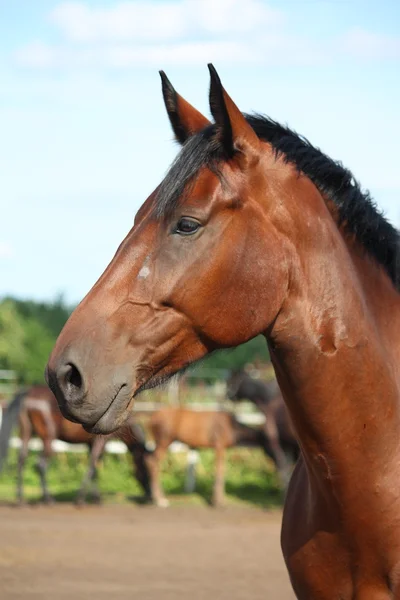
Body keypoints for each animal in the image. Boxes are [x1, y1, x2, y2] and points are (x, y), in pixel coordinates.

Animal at [0, 384, 152, 506]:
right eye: (146, 467)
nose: (149, 496)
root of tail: (28, 392)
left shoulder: (90, 444)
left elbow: (95, 469)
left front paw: (95, 498)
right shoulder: (100, 442)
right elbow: (92, 466)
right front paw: (80, 499)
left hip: (26, 434)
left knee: (21, 460)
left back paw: (20, 499)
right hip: (48, 438)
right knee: (41, 464)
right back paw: (48, 499)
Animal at [147, 408, 278, 506]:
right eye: (270, 444)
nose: (276, 459)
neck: (231, 426)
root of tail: (152, 417)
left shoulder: (221, 448)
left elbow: (221, 470)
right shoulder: (219, 446)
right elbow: (220, 470)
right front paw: (217, 501)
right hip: (164, 441)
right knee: (153, 462)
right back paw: (159, 499)